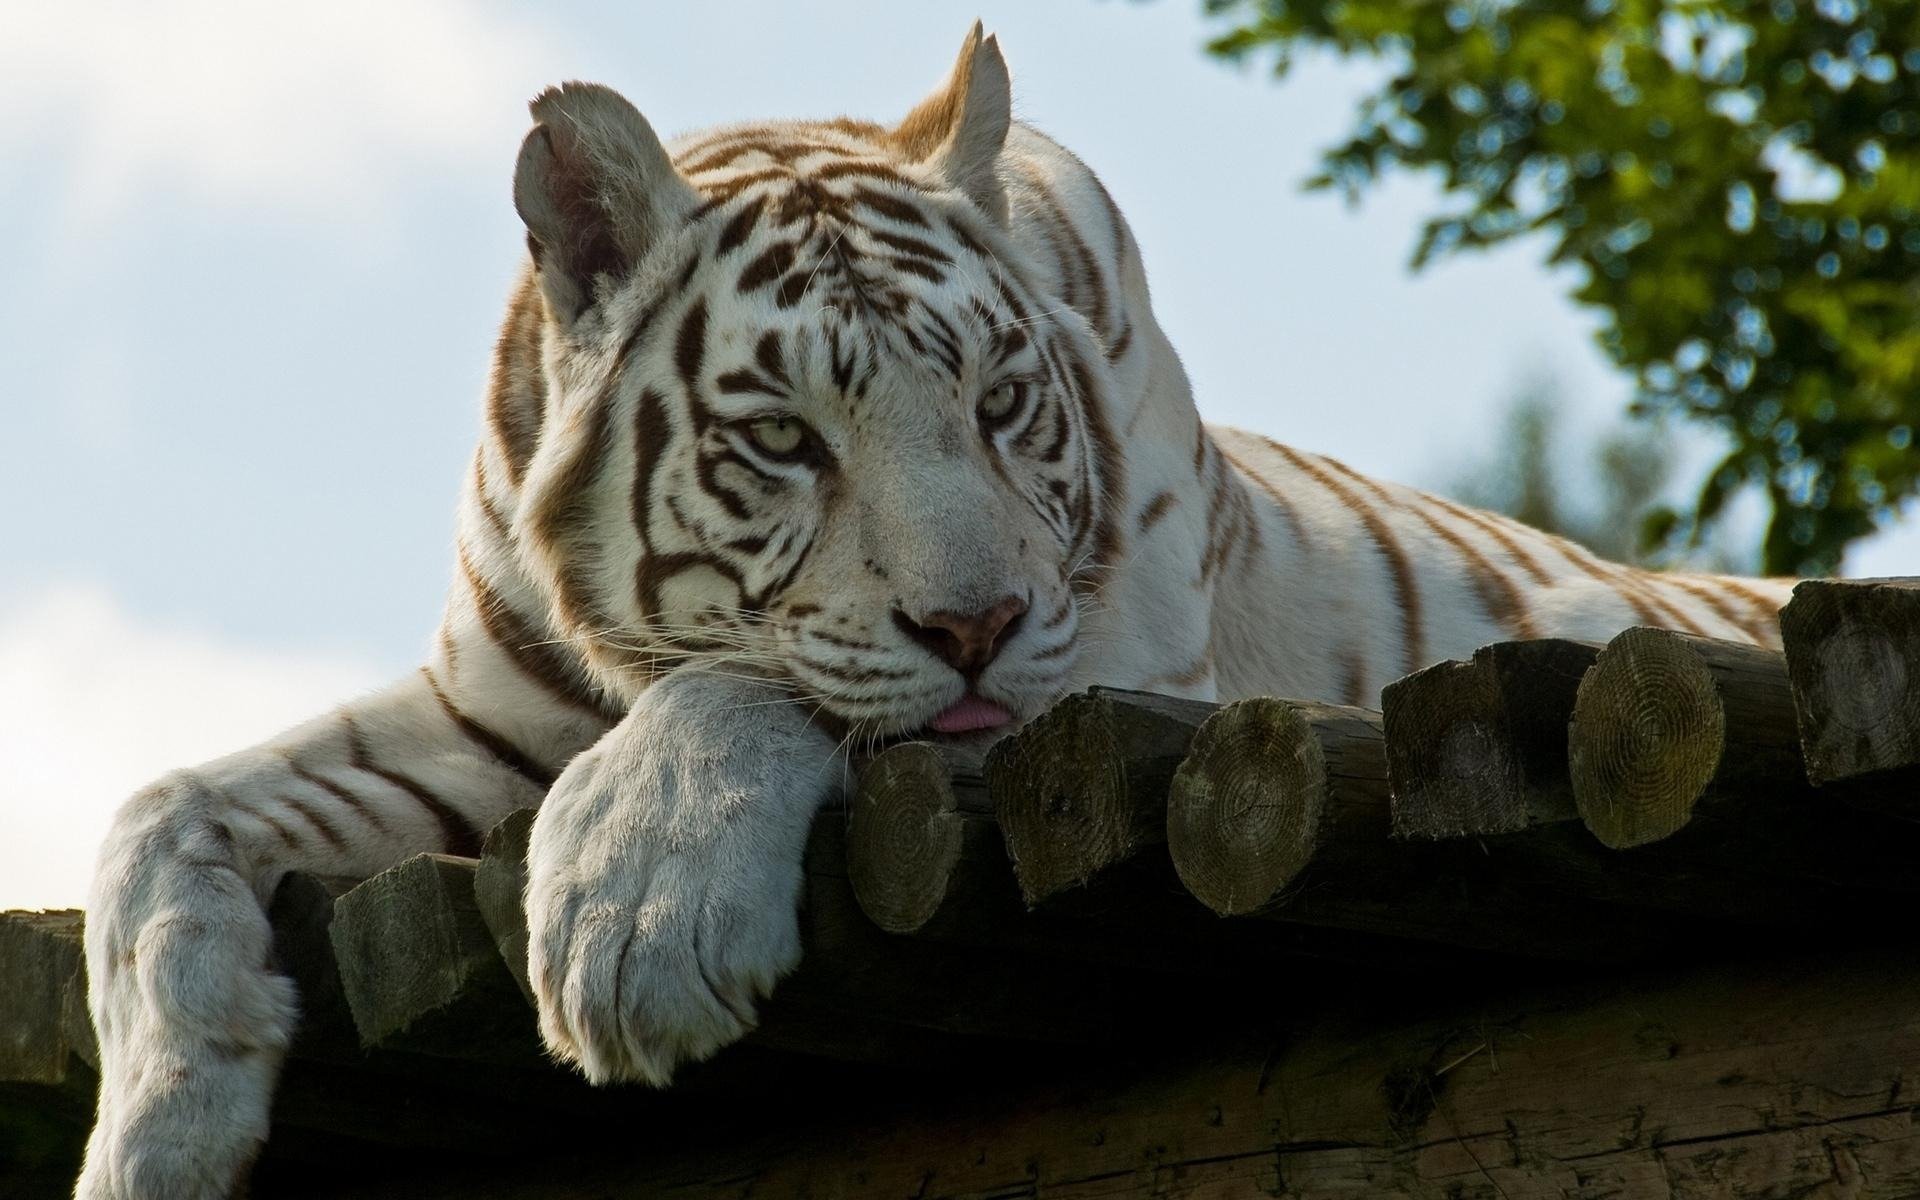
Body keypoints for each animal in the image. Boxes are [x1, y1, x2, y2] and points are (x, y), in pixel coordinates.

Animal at [71, 23, 1781, 1190]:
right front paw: (154, 1137)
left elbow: (760, 684)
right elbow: (159, 814)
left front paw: (636, 923)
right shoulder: (479, 719)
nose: (977, 627)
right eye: (784, 439)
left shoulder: (1105, 672)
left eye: (1002, 404)